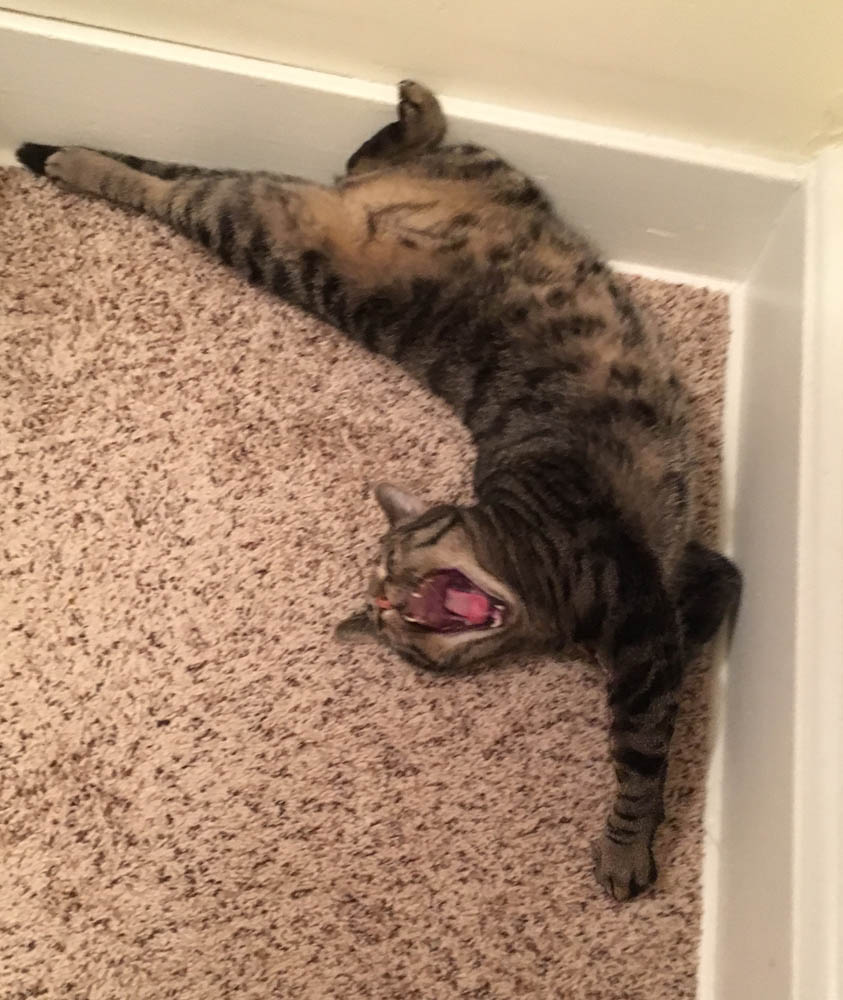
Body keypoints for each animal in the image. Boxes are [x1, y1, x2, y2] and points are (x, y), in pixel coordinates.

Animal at [16, 82, 740, 904]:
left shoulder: (647, 605)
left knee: (243, 177)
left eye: (395, 563)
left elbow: (642, 749)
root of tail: (341, 200)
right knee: (215, 183)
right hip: (271, 222)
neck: (532, 569)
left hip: (326, 207)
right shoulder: (659, 604)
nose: (390, 597)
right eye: (388, 620)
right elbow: (663, 695)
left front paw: (624, 846)